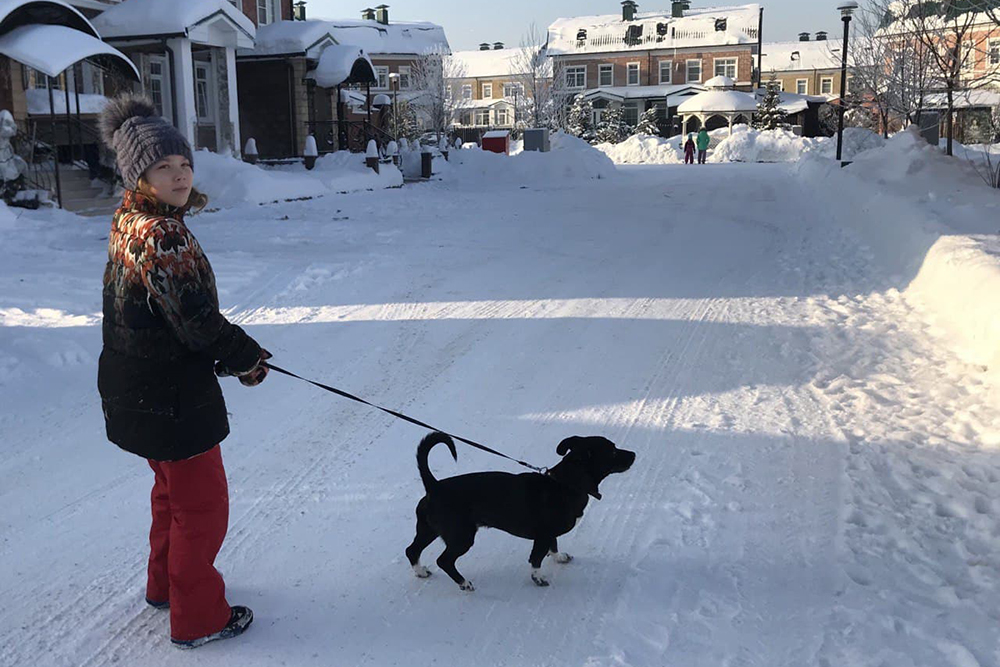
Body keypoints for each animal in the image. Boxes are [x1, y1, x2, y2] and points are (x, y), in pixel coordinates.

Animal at [404, 434, 632, 588]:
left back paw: (420, 572)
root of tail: (434, 487)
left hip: (428, 530)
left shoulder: (549, 534)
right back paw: (464, 583)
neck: (566, 483)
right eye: (612, 451)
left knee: (412, 550)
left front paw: (559, 557)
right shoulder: (543, 535)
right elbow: (536, 558)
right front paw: (538, 578)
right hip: (461, 536)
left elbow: (554, 546)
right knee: (443, 560)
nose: (634, 454)